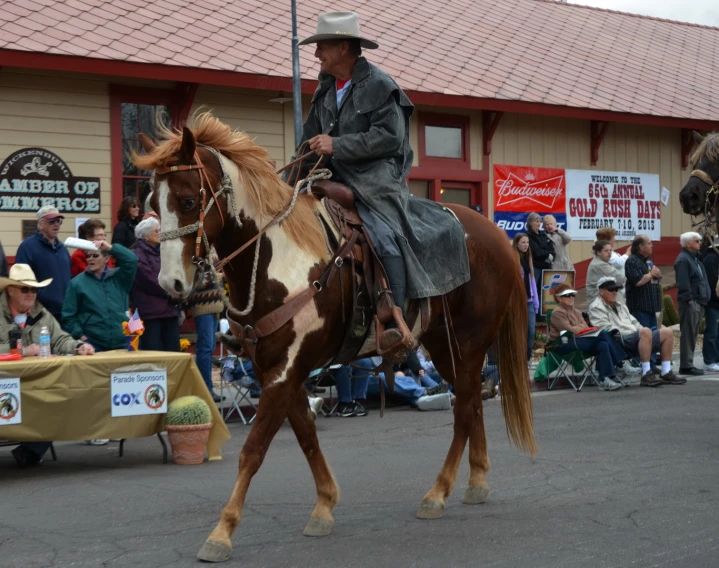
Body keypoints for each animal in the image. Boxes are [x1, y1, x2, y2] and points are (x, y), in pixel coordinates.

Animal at [135, 112, 536, 564]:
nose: (171, 283)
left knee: (466, 408)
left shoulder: (285, 371)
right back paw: (476, 481)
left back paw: (438, 493)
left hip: (468, 343)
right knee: (472, 403)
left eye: (188, 200)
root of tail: (500, 237)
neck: (278, 260)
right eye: (152, 205)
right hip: (445, 346)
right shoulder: (276, 369)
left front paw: (221, 533)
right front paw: (324, 506)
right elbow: (306, 435)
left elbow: (253, 450)